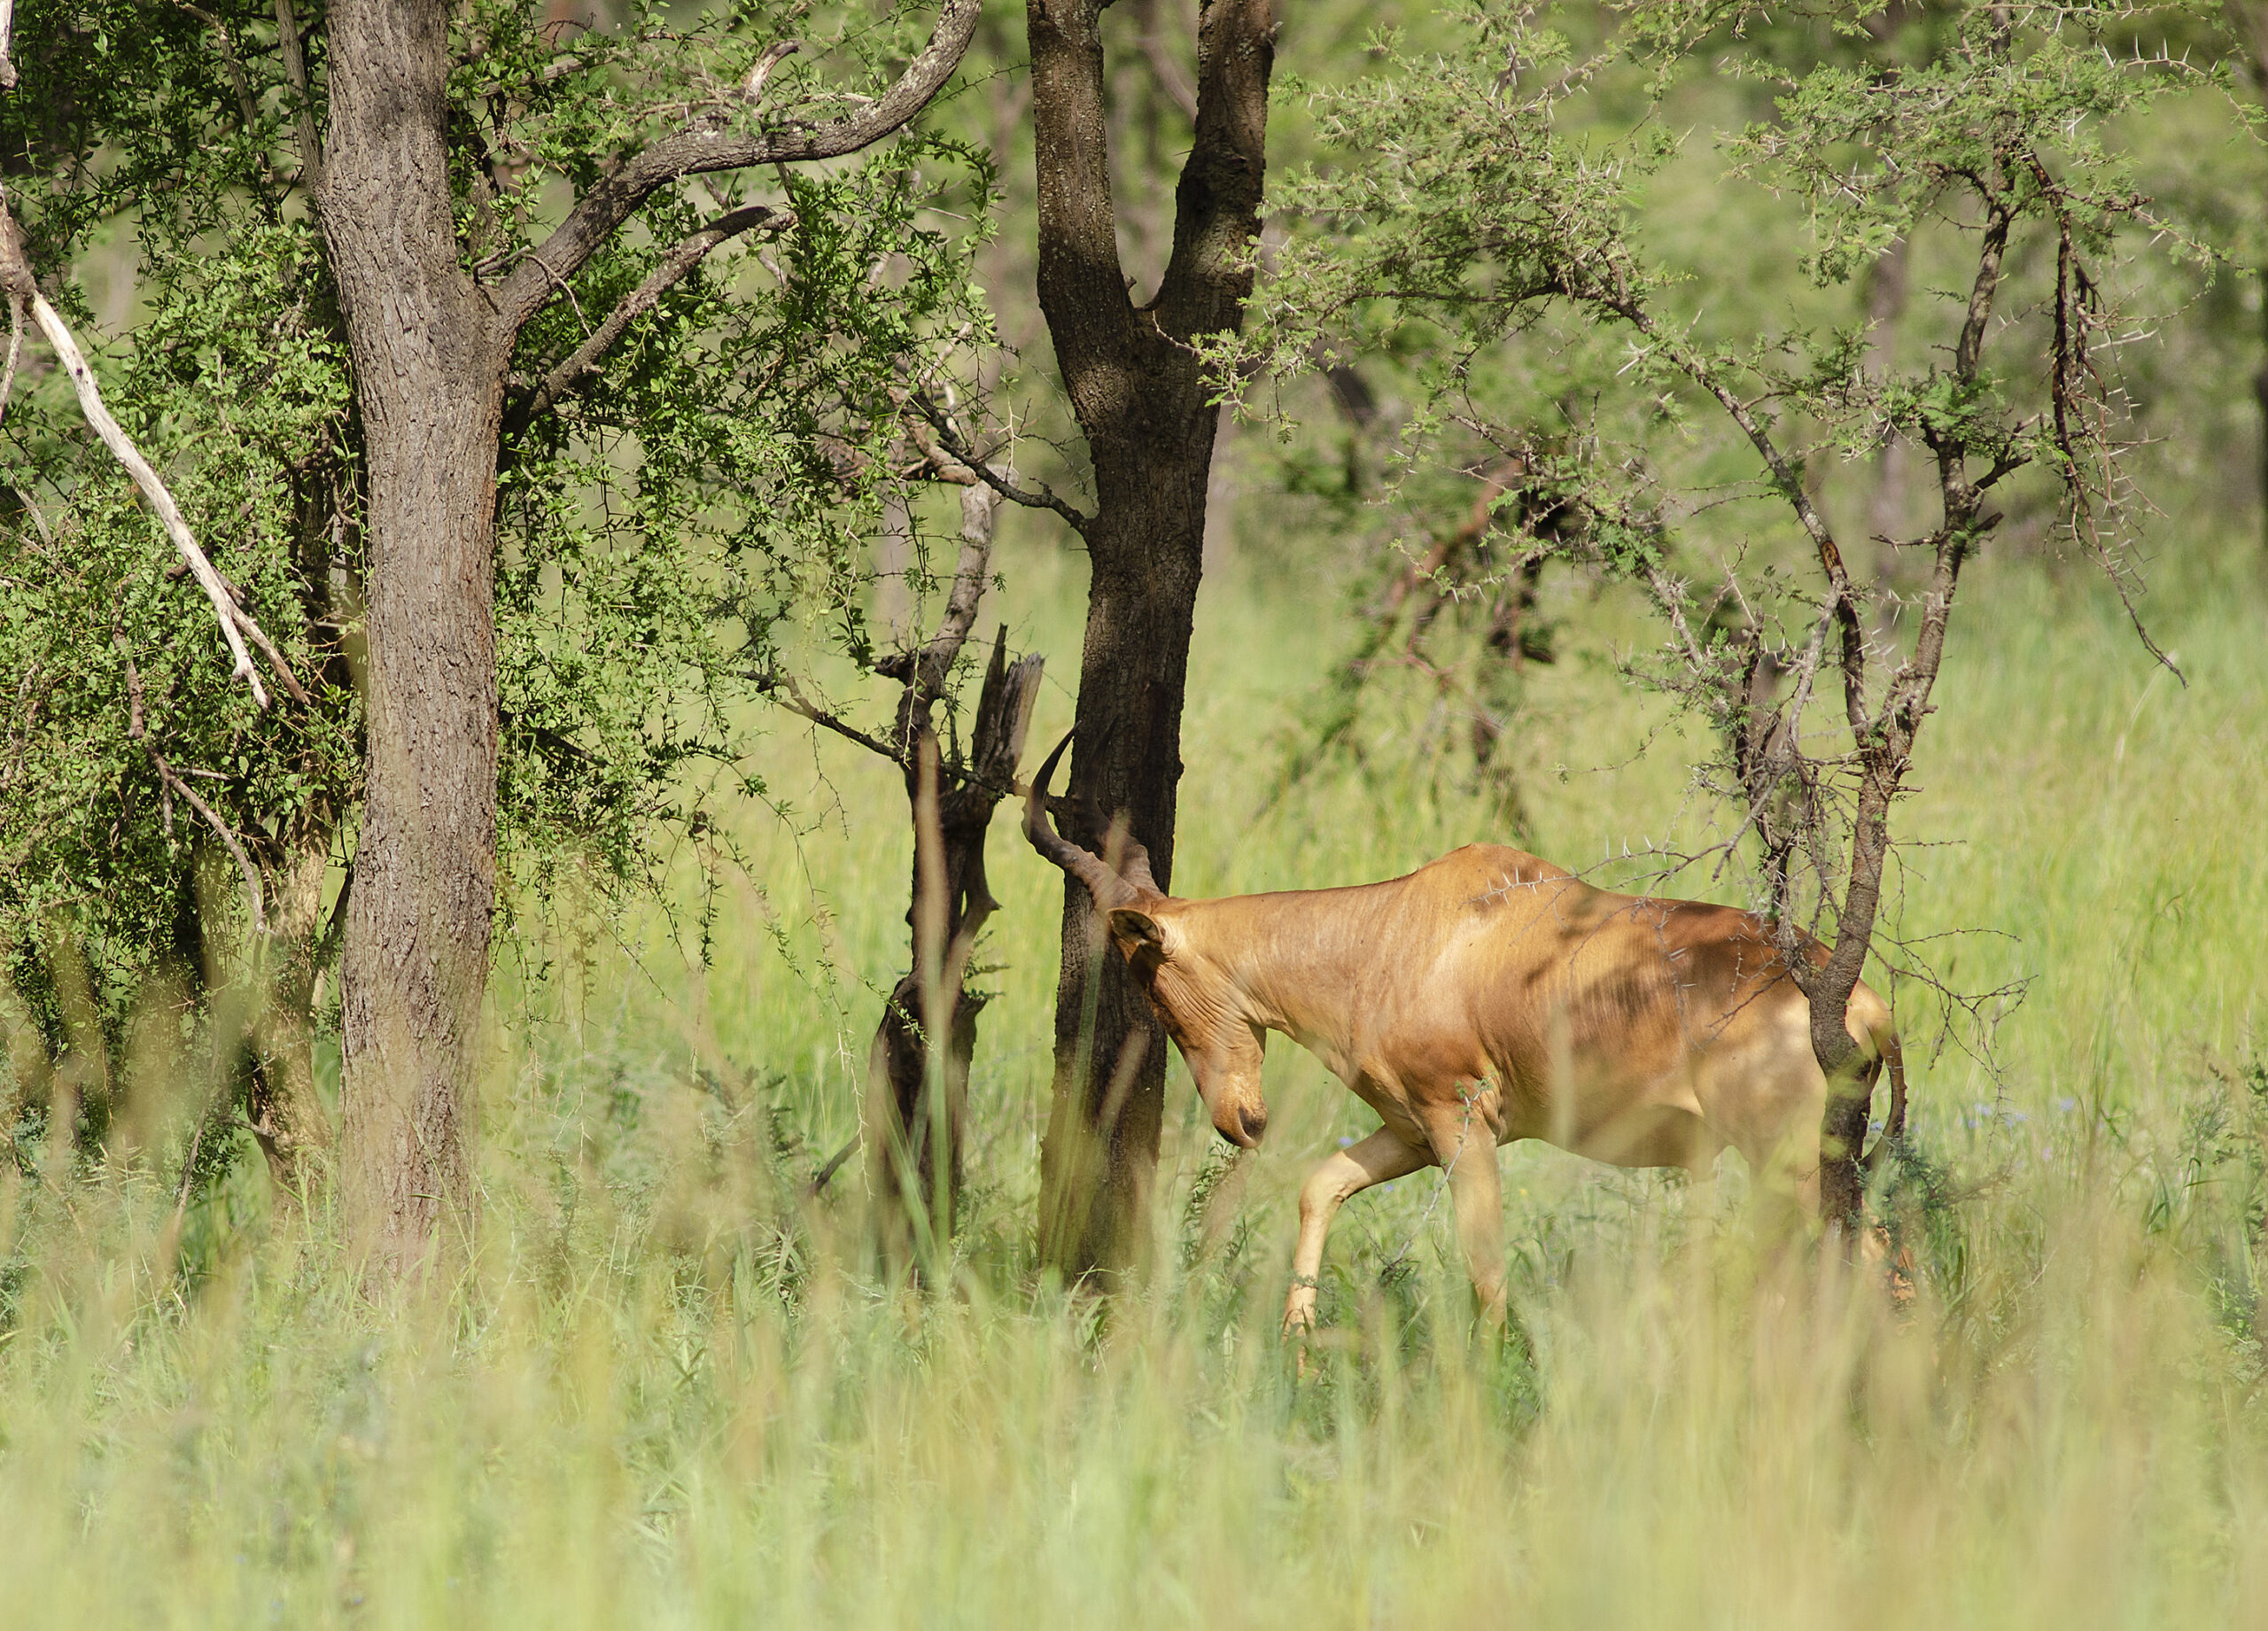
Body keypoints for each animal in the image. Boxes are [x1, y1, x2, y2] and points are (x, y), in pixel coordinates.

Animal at [1023, 735, 1906, 1333]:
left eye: (1153, 984)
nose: (1239, 1120)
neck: (1398, 926)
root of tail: (1864, 1003)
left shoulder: (1461, 1121)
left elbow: (1486, 1272)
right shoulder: (1414, 1130)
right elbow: (1320, 1186)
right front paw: (1296, 1349)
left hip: (1789, 1158)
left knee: (1876, 1261)